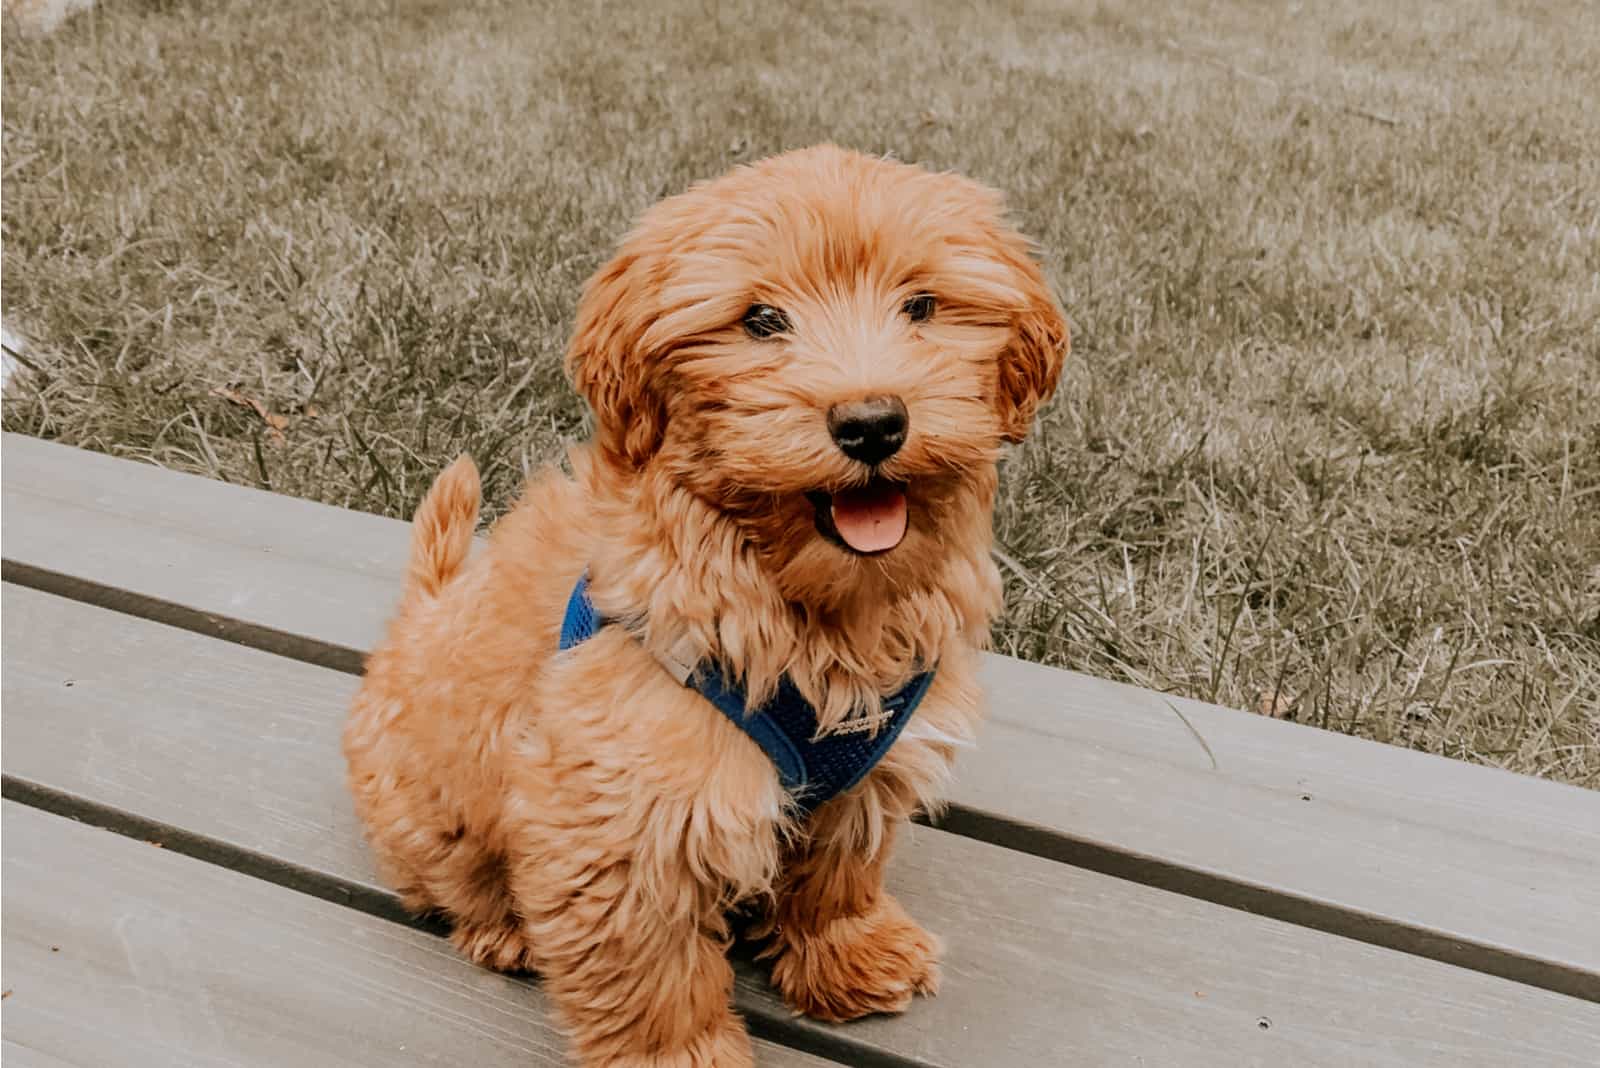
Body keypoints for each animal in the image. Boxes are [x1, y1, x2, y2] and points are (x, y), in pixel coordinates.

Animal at [340, 143, 1062, 1068]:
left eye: (922, 306)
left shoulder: (869, 769)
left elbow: (842, 867)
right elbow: (652, 972)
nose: (872, 422)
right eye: (761, 321)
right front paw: (682, 1055)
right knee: (448, 875)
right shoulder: (626, 810)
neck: (809, 607)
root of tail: (417, 619)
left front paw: (850, 951)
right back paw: (500, 927)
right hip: (427, 806)